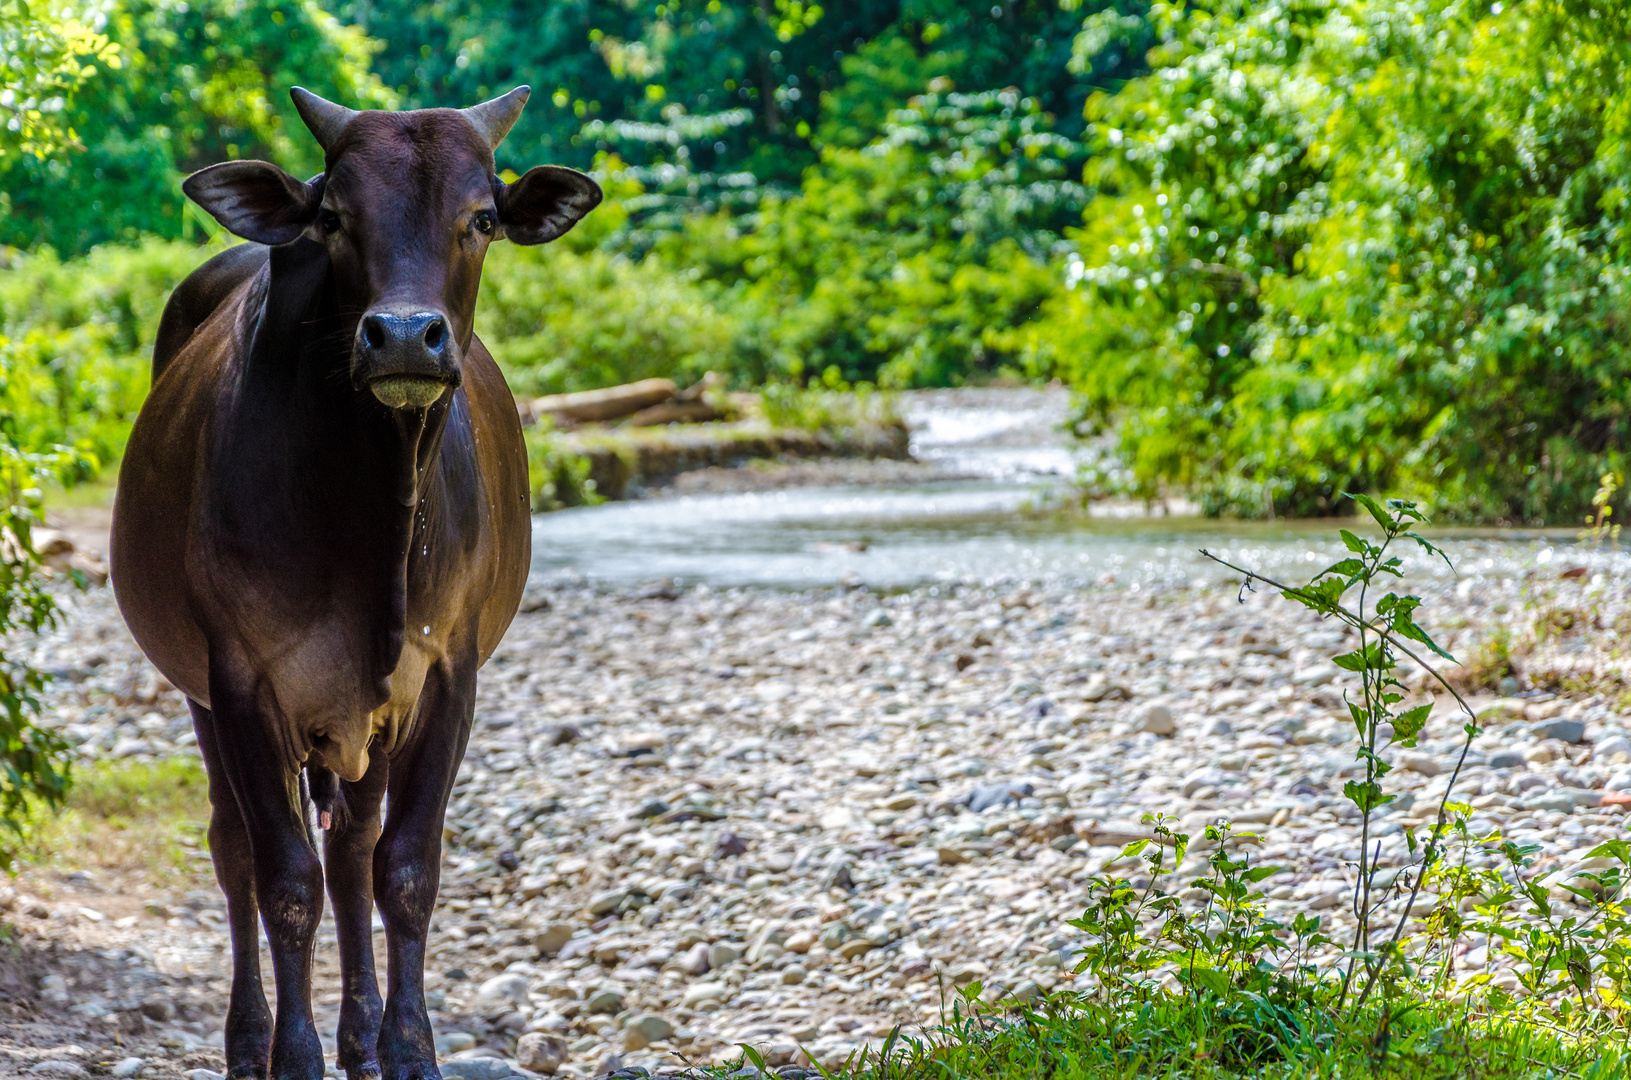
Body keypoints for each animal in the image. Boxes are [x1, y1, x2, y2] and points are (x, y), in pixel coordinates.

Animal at [111, 86, 603, 1080]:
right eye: (333, 216)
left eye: (481, 217)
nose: (405, 335)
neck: (375, 519)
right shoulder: (241, 679)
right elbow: (283, 878)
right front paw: (293, 1055)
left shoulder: (446, 675)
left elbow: (405, 869)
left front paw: (407, 1046)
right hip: (205, 698)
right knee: (237, 850)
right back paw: (251, 1039)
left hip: (366, 720)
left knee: (355, 851)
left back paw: (362, 1034)